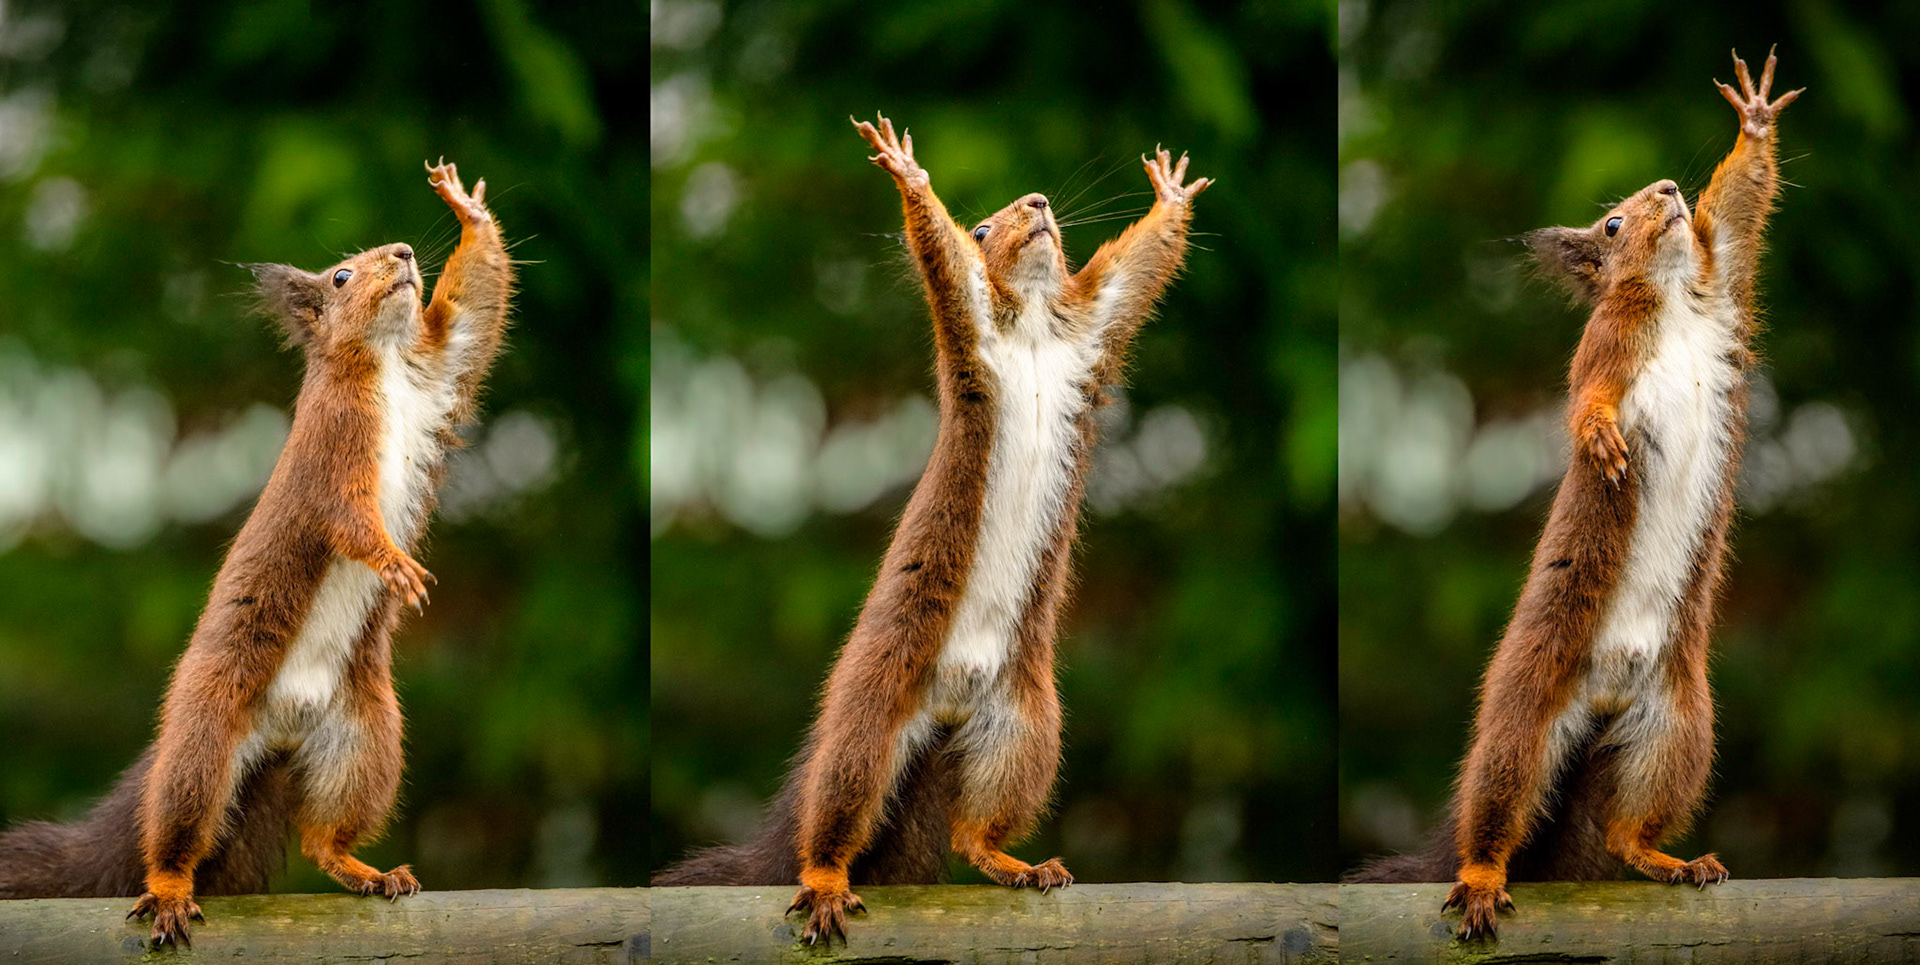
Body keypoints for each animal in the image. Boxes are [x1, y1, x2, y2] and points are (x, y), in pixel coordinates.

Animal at [0, 161, 512, 947]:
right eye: (339, 276)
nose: (402, 253)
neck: (388, 367)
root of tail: (280, 732)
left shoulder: (443, 368)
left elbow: (474, 312)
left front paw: (467, 209)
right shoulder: (332, 451)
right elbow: (350, 520)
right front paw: (395, 565)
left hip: (365, 738)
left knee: (321, 835)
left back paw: (360, 867)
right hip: (208, 729)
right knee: (177, 823)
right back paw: (169, 887)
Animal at [654, 114, 1210, 944]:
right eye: (982, 227)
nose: (1039, 203)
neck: (1036, 319)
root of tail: (947, 707)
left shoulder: (1098, 322)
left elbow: (1137, 267)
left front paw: (1169, 195)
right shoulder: (969, 314)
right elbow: (940, 254)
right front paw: (908, 173)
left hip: (1023, 729)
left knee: (971, 826)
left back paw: (1009, 859)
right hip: (872, 707)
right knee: (838, 808)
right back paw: (825, 876)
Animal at [1347, 50, 1800, 940]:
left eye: (1662, 201)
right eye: (1612, 227)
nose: (1667, 189)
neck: (1673, 300)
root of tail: (1604, 697)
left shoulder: (1725, 278)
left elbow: (1737, 210)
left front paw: (1755, 121)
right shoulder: (1605, 348)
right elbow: (1586, 395)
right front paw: (1597, 438)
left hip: (1676, 728)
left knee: (1624, 827)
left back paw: (1664, 857)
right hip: (1526, 707)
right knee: (1497, 801)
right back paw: (1481, 873)